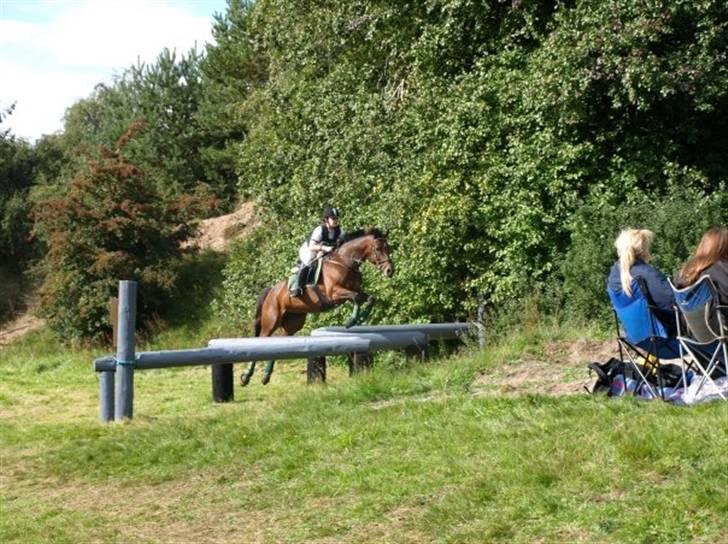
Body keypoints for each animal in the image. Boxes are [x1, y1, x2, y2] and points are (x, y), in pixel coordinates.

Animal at [242, 228, 396, 386]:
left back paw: (266, 376)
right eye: (378, 248)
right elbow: (356, 298)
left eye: (388, 248)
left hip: (293, 323)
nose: (390, 271)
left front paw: (359, 319)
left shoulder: (355, 291)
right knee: (261, 339)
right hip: (271, 321)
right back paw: (246, 377)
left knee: (279, 344)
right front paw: (351, 321)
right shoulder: (334, 293)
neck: (344, 263)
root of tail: (271, 291)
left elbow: (370, 298)